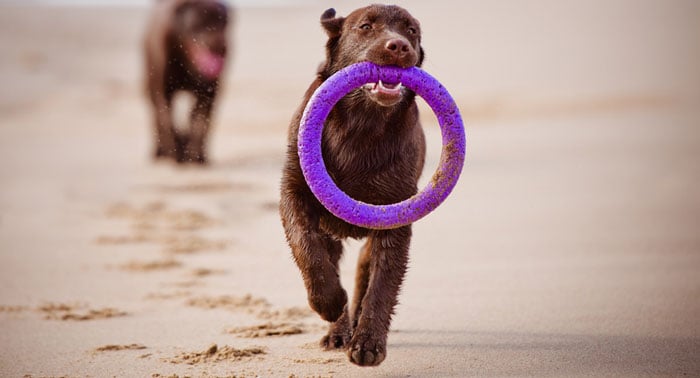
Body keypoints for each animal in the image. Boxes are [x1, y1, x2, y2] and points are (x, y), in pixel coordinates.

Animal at [142, 0, 230, 164]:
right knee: (157, 119)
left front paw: (195, 157)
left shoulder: (209, 94)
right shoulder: (163, 91)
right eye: (199, 23)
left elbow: (200, 124)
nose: (221, 46)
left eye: (224, 24)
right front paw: (173, 154)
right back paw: (160, 152)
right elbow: (167, 122)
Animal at [280, 5, 426, 366]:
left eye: (412, 31)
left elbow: (382, 285)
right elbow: (307, 250)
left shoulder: (395, 217)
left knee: (363, 271)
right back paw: (337, 330)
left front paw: (369, 343)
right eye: (365, 27)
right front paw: (329, 303)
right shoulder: (294, 193)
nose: (398, 46)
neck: (362, 125)